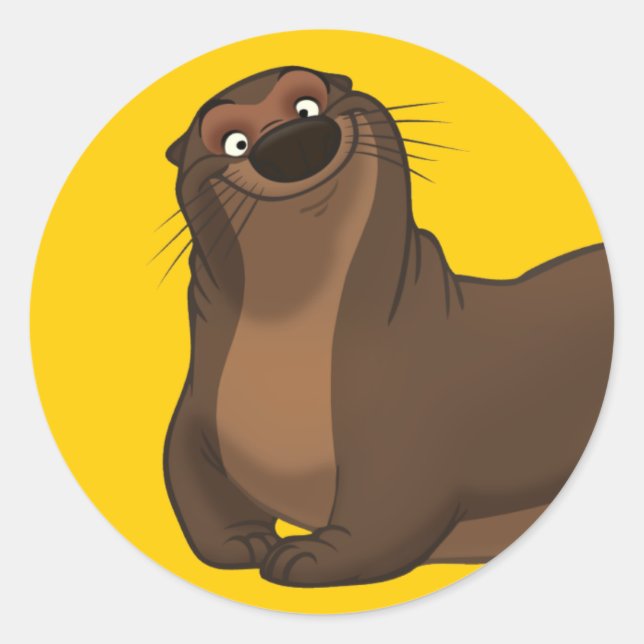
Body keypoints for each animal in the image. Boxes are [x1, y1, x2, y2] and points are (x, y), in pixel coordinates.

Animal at [162, 66, 613, 587]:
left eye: (307, 105)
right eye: (233, 141)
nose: (292, 138)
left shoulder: (407, 420)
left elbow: (390, 510)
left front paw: (311, 555)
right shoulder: (198, 406)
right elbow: (185, 471)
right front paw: (244, 541)